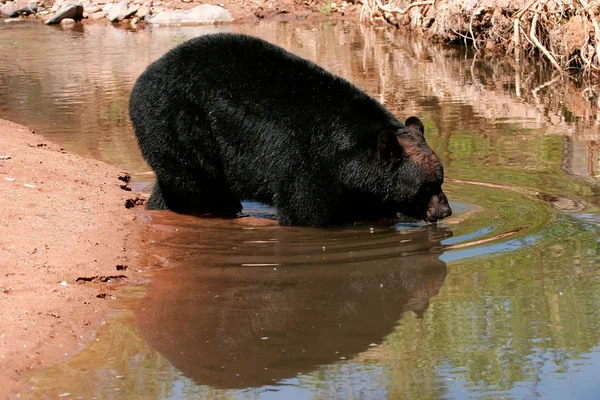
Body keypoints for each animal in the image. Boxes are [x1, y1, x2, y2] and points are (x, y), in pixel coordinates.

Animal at [130, 32, 450, 227]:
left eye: (440, 180)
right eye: (427, 187)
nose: (444, 211)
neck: (344, 152)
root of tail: (144, 76)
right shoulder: (304, 163)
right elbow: (305, 212)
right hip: (178, 125)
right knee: (197, 184)